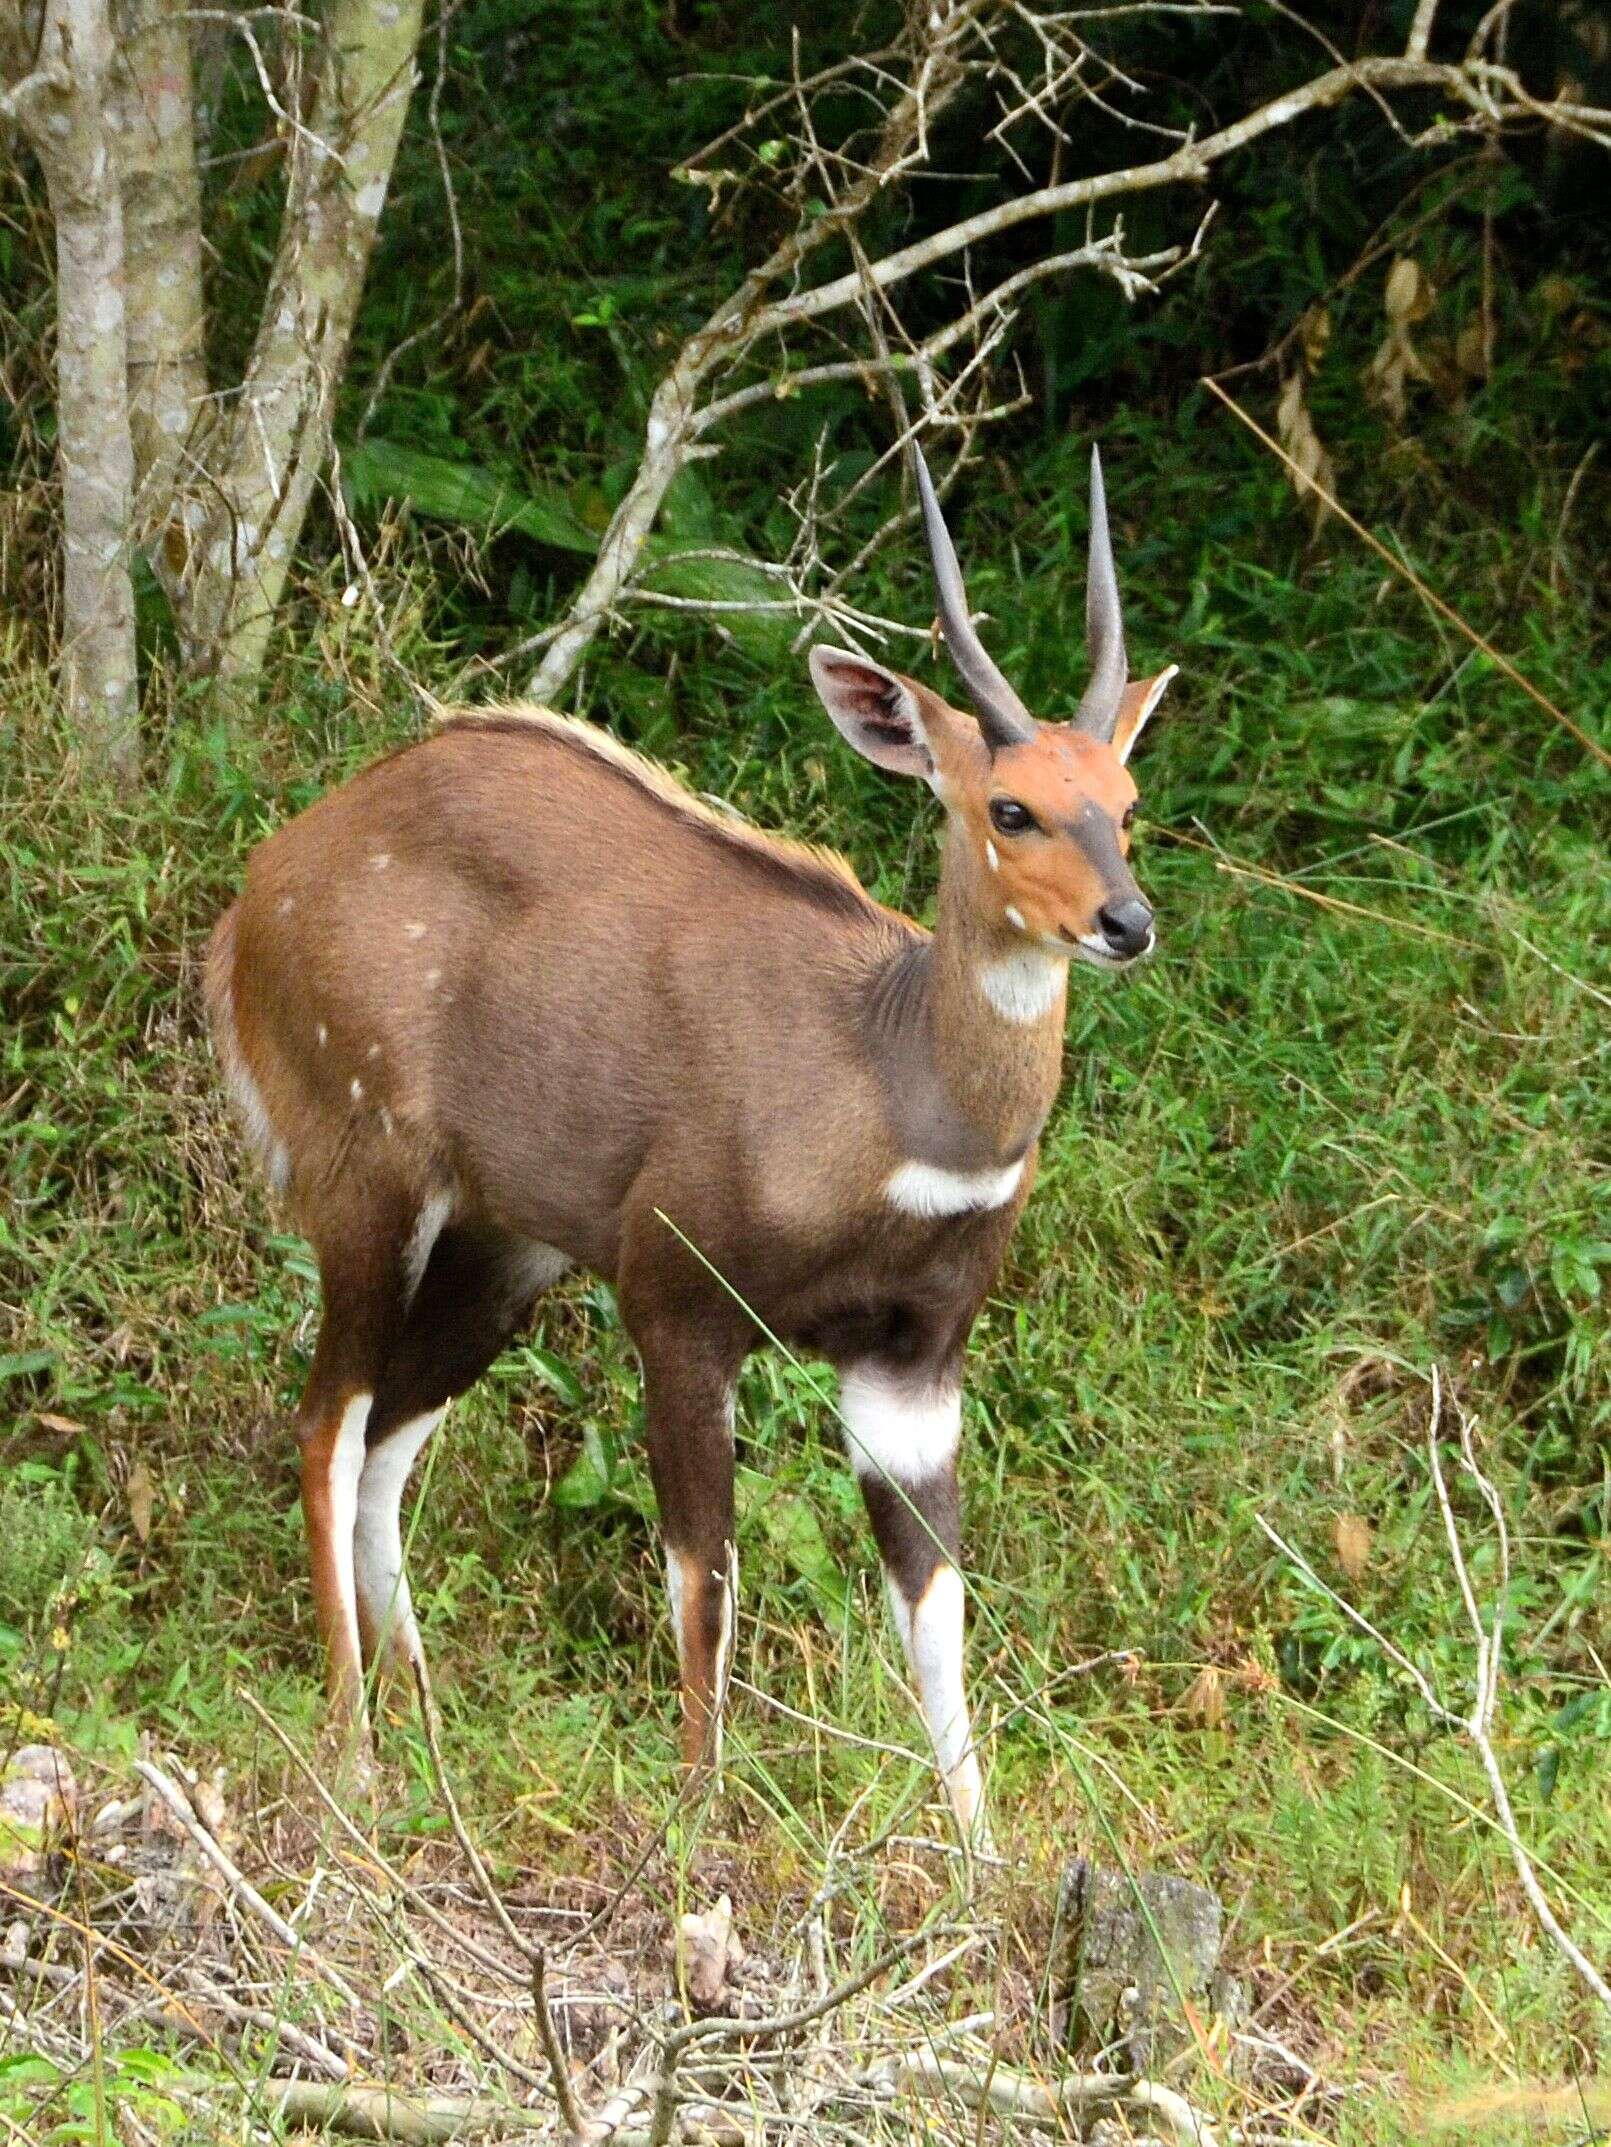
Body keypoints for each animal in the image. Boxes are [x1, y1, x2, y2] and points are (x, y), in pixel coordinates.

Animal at [208, 444, 1177, 1837]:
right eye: (1011, 807)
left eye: (1125, 800)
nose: (1127, 921)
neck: (891, 1093)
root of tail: (253, 900)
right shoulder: (677, 1302)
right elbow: (703, 1571)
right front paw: (696, 1821)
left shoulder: (914, 1362)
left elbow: (936, 1606)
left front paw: (979, 1855)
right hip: (368, 1181)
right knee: (327, 1423)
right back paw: (355, 1755)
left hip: (506, 1245)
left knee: (390, 1434)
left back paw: (433, 1731)